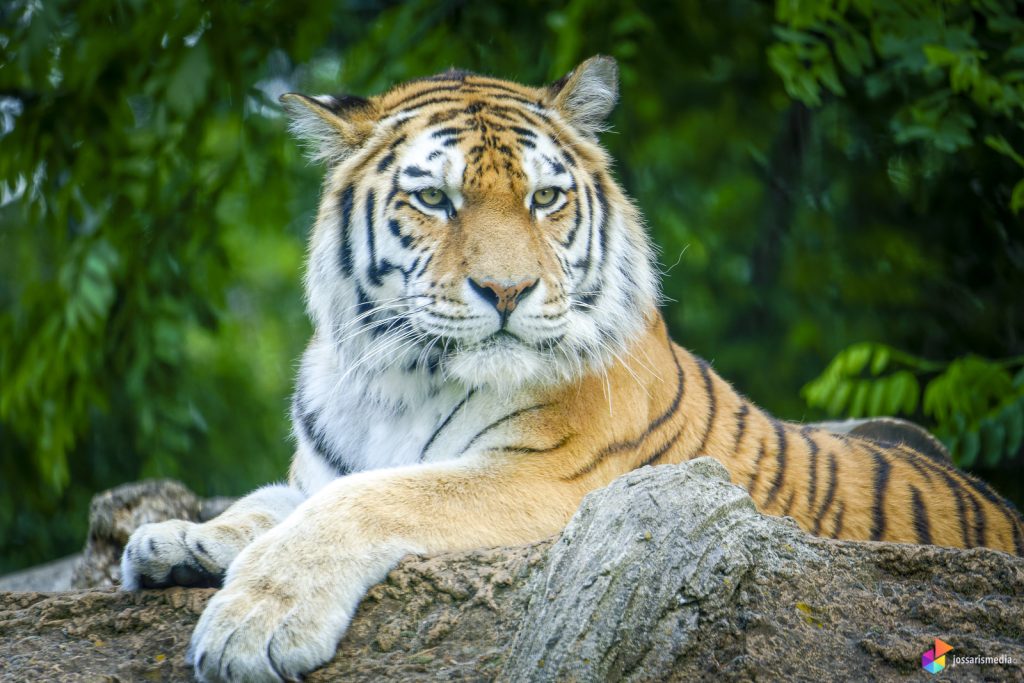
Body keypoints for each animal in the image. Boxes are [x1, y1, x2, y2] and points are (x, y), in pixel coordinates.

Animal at [121, 56, 1024, 679]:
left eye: (545, 199)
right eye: (435, 199)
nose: (508, 290)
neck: (397, 379)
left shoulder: (551, 479)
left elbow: (368, 498)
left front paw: (252, 622)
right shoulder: (320, 467)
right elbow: (270, 501)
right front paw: (173, 540)